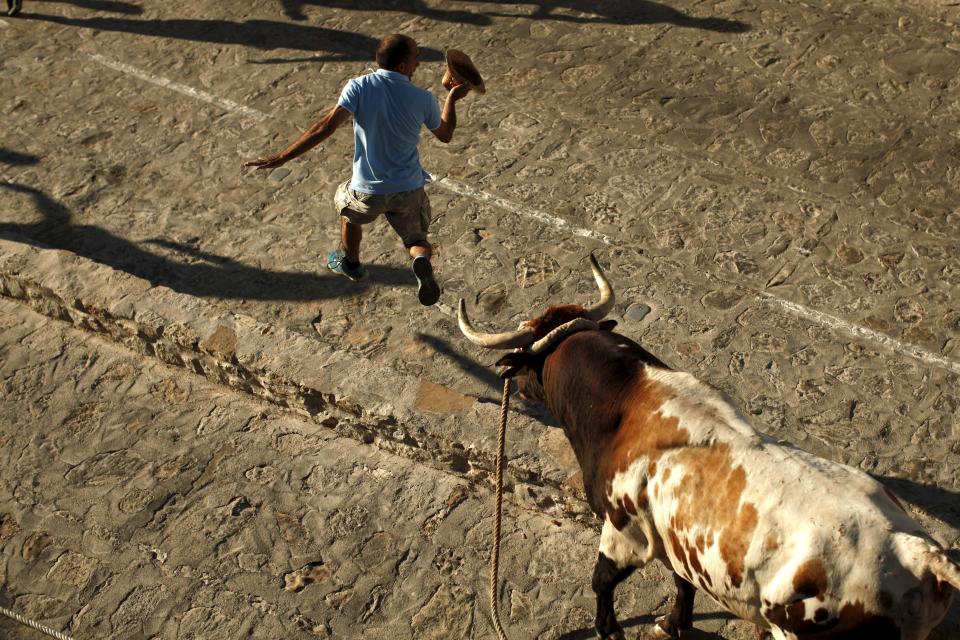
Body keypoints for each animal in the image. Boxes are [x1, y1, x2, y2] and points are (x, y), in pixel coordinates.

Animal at [458, 255, 960, 640]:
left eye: (527, 365)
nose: (517, 385)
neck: (625, 400)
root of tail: (918, 554)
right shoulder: (676, 541)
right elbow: (683, 584)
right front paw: (673, 623)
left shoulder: (622, 533)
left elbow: (601, 583)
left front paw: (609, 630)